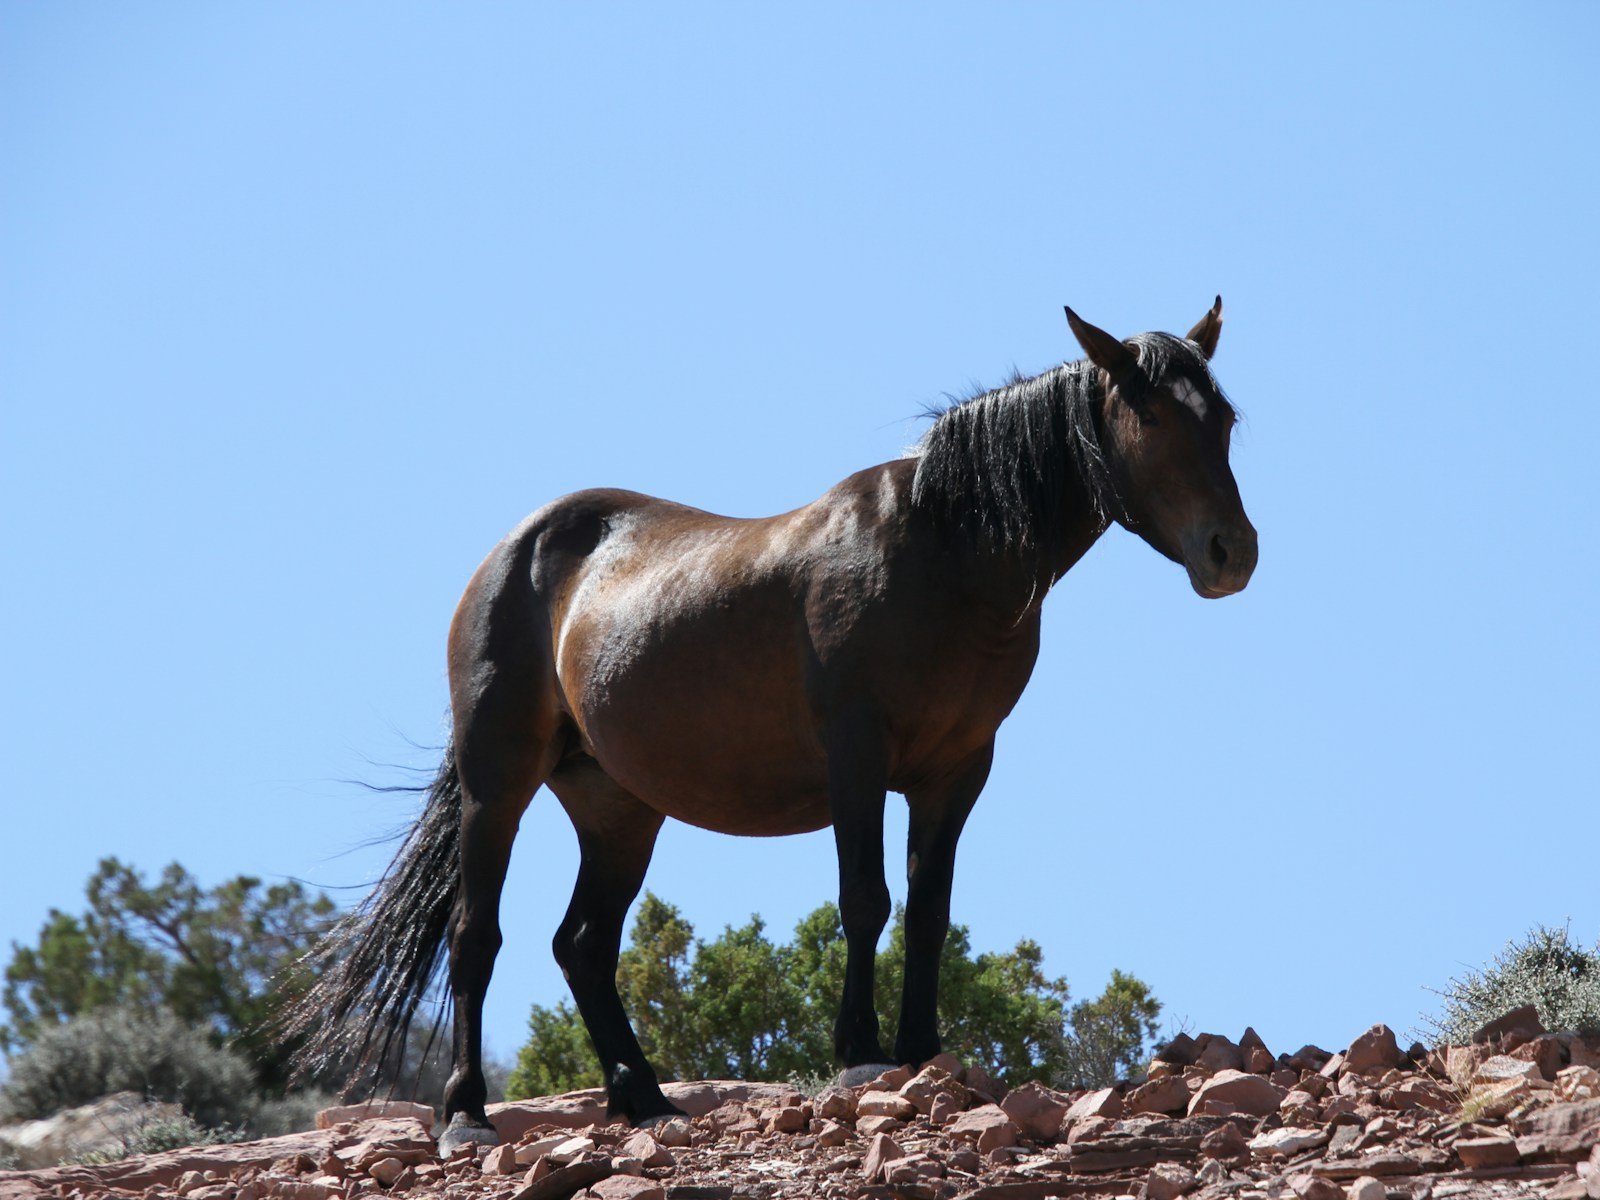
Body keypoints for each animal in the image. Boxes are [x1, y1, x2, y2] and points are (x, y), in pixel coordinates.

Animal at [280, 300, 1258, 1151]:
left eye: (1225, 418)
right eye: (1152, 416)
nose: (1232, 553)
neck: (945, 555)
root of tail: (513, 552)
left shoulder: (957, 770)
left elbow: (930, 909)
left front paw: (921, 1054)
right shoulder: (858, 758)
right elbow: (867, 899)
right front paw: (861, 1055)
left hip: (618, 808)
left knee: (583, 947)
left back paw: (646, 1099)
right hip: (499, 780)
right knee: (474, 935)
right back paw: (466, 1116)